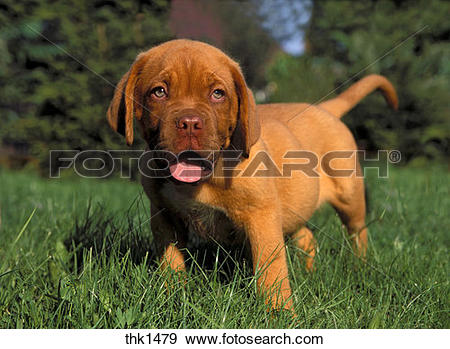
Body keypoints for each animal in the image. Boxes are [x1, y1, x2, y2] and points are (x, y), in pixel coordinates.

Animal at [106, 39, 398, 312]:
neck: (204, 179)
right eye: (159, 92)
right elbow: (171, 262)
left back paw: (359, 267)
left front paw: (280, 314)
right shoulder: (164, 215)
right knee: (307, 237)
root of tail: (324, 108)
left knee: (357, 232)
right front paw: (173, 297)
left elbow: (272, 270)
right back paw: (309, 271)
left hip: (350, 196)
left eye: (217, 94)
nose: (189, 123)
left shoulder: (262, 217)